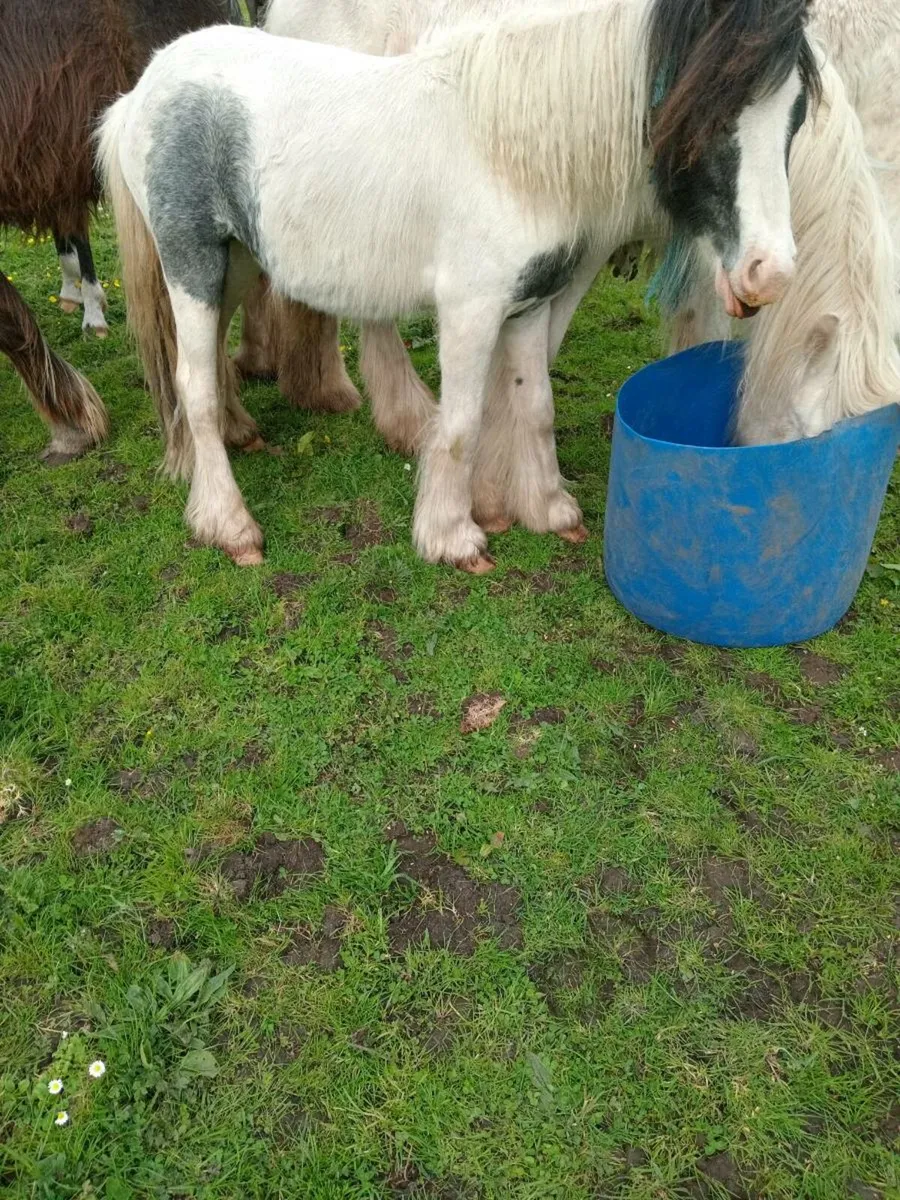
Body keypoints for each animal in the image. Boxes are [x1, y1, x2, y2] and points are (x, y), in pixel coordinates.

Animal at [100, 0, 818, 571]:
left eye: (794, 116)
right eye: (709, 108)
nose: (773, 271)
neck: (512, 155)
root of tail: (142, 91)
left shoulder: (530, 305)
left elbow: (535, 403)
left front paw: (549, 508)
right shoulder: (471, 311)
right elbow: (462, 422)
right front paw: (452, 535)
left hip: (237, 263)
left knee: (207, 366)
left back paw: (233, 439)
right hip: (192, 264)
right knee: (194, 386)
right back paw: (228, 523)